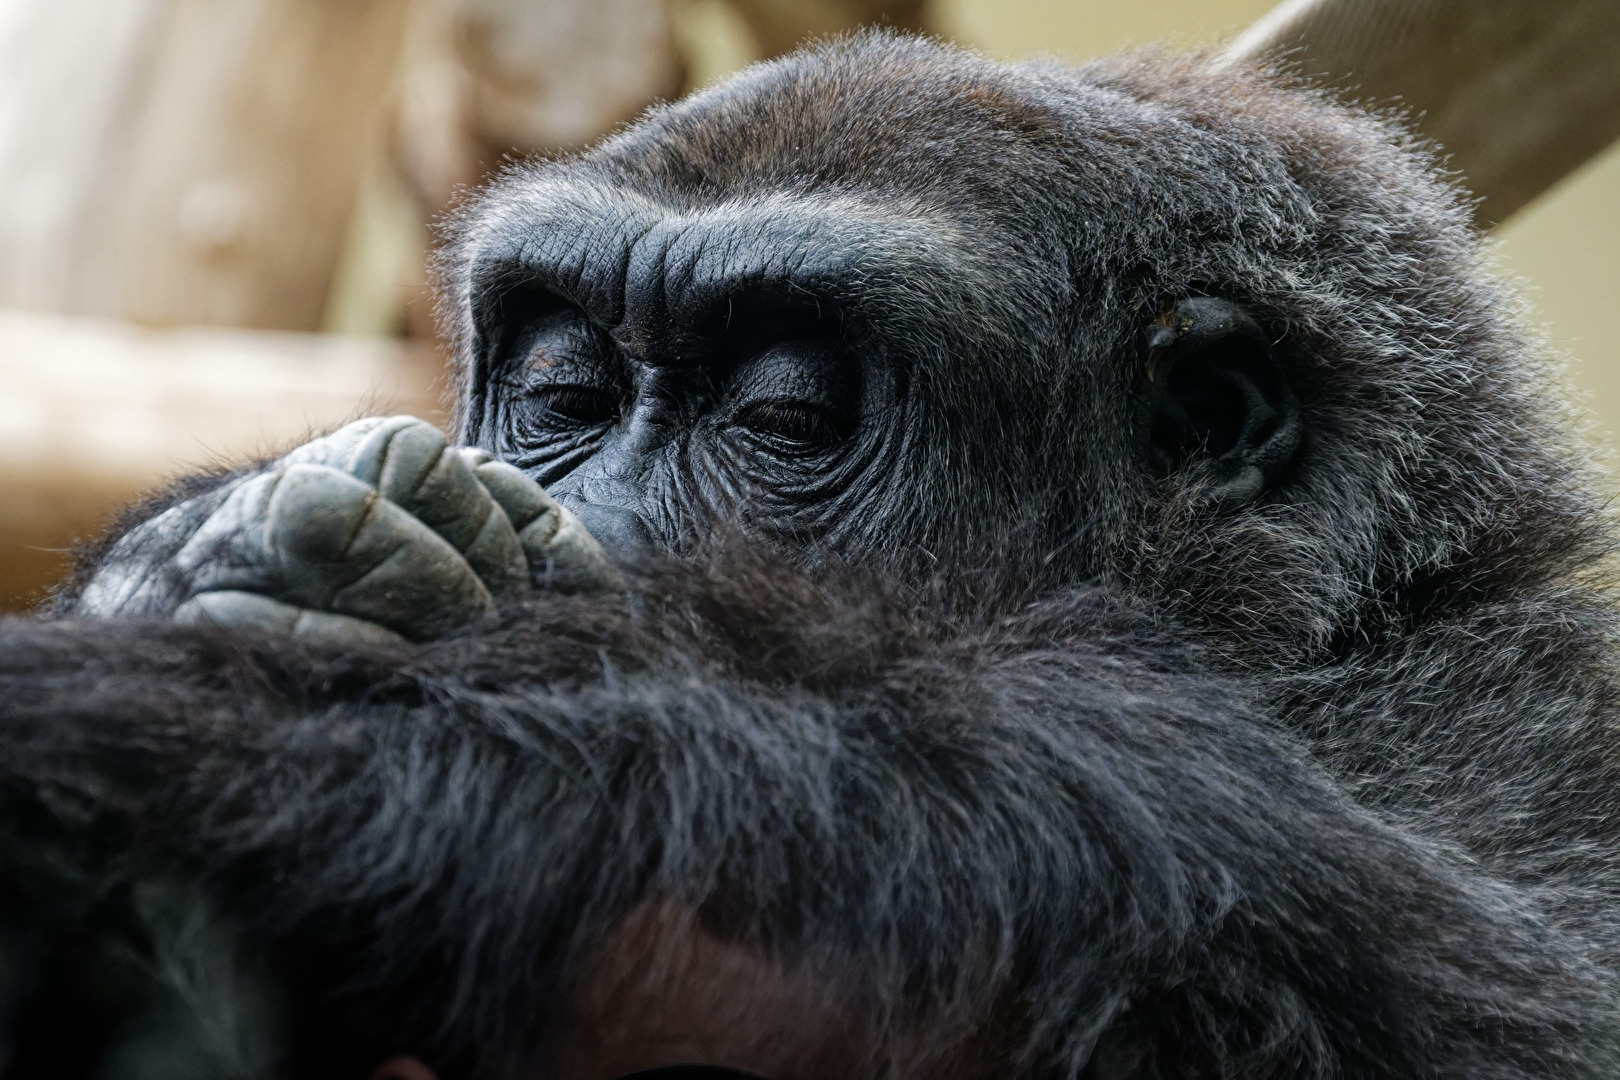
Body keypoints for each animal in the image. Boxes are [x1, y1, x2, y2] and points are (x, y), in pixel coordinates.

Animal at [4, 30, 1620, 1080]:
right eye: (565, 393)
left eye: (786, 414)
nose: (601, 524)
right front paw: (201, 564)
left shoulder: (1534, 738)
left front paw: (211, 724)